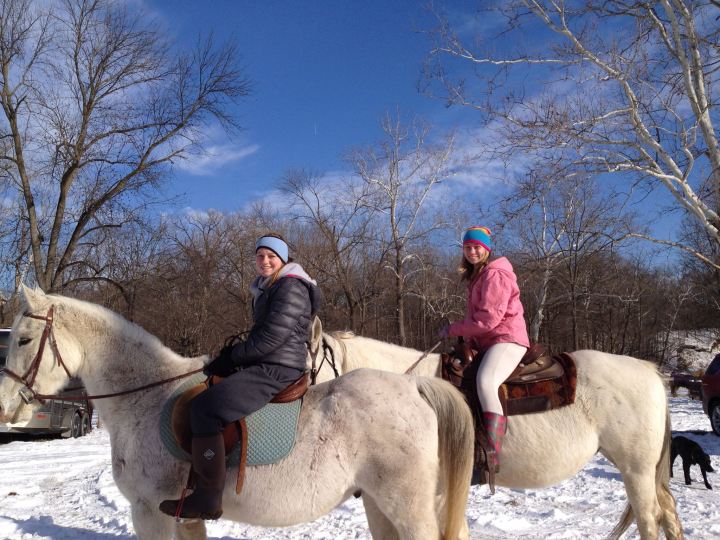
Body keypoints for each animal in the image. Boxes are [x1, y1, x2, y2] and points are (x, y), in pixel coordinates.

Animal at [0, 292, 472, 540]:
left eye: (23, 339)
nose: (5, 405)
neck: (145, 397)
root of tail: (413, 386)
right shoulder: (185, 517)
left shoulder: (149, 512)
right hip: (379, 504)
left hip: (406, 507)